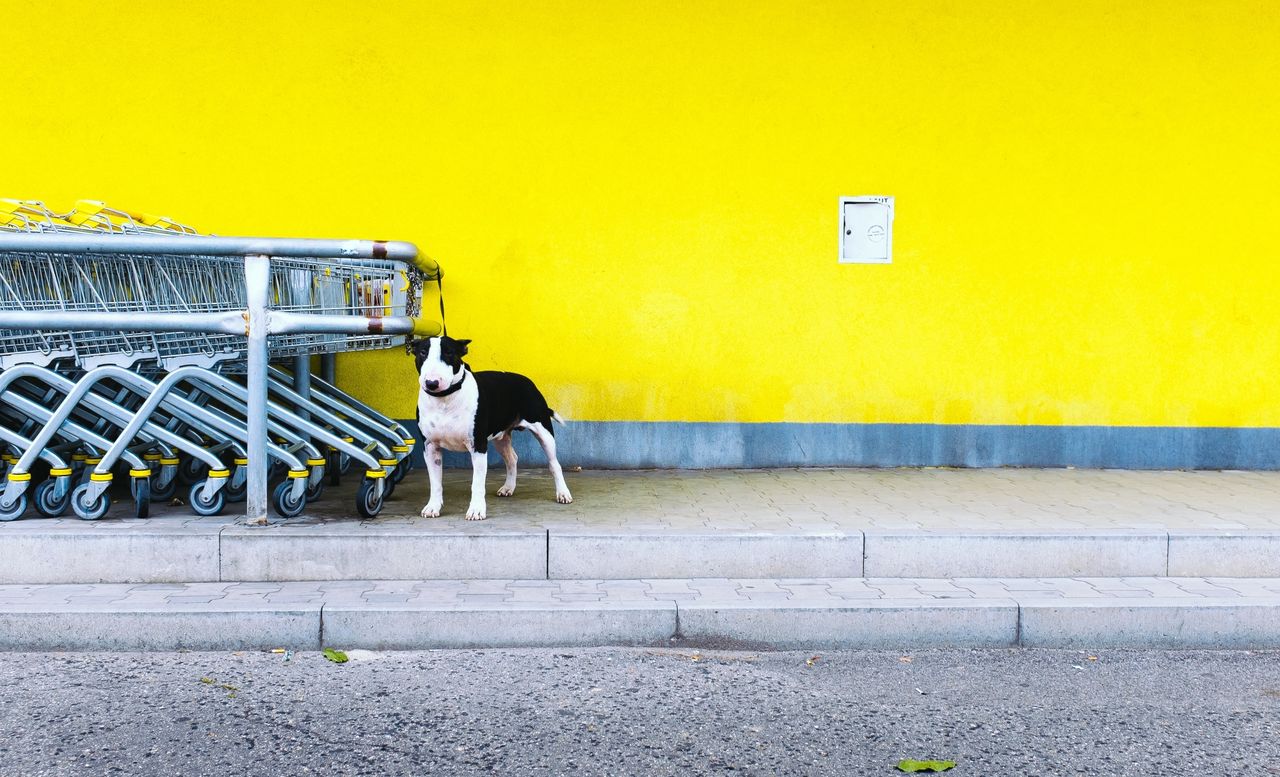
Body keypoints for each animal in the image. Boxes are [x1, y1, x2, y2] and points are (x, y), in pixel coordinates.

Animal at [412, 335, 573, 522]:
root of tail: (527, 381)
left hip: (543, 431)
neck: (445, 398)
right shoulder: (430, 447)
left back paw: (563, 493)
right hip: (501, 437)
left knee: (554, 464)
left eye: (449, 353)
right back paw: (508, 488)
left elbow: (477, 483)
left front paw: (476, 510)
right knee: (512, 459)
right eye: (422, 353)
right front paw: (433, 507)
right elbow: (435, 482)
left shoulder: (478, 446)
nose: (432, 383)